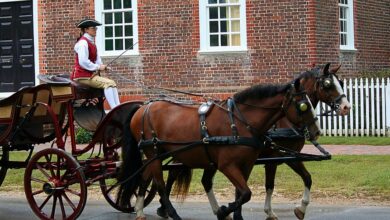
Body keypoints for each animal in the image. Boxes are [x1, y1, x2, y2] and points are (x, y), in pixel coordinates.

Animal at [117, 78, 318, 219]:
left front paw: (233, 215)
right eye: (303, 105)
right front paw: (223, 211)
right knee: (159, 184)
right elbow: (246, 193)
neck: (240, 122)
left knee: (145, 177)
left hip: (159, 153)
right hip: (154, 152)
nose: (316, 131)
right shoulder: (227, 166)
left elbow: (242, 193)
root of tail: (142, 107)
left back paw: (140, 210)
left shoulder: (246, 165)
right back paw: (172, 213)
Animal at [157, 62, 352, 219]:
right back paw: (163, 208)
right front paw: (270, 212)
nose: (346, 107)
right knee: (173, 174)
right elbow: (270, 185)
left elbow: (307, 178)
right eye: (328, 84)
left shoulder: (289, 156)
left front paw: (300, 209)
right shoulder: (276, 158)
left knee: (202, 180)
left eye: (341, 83)